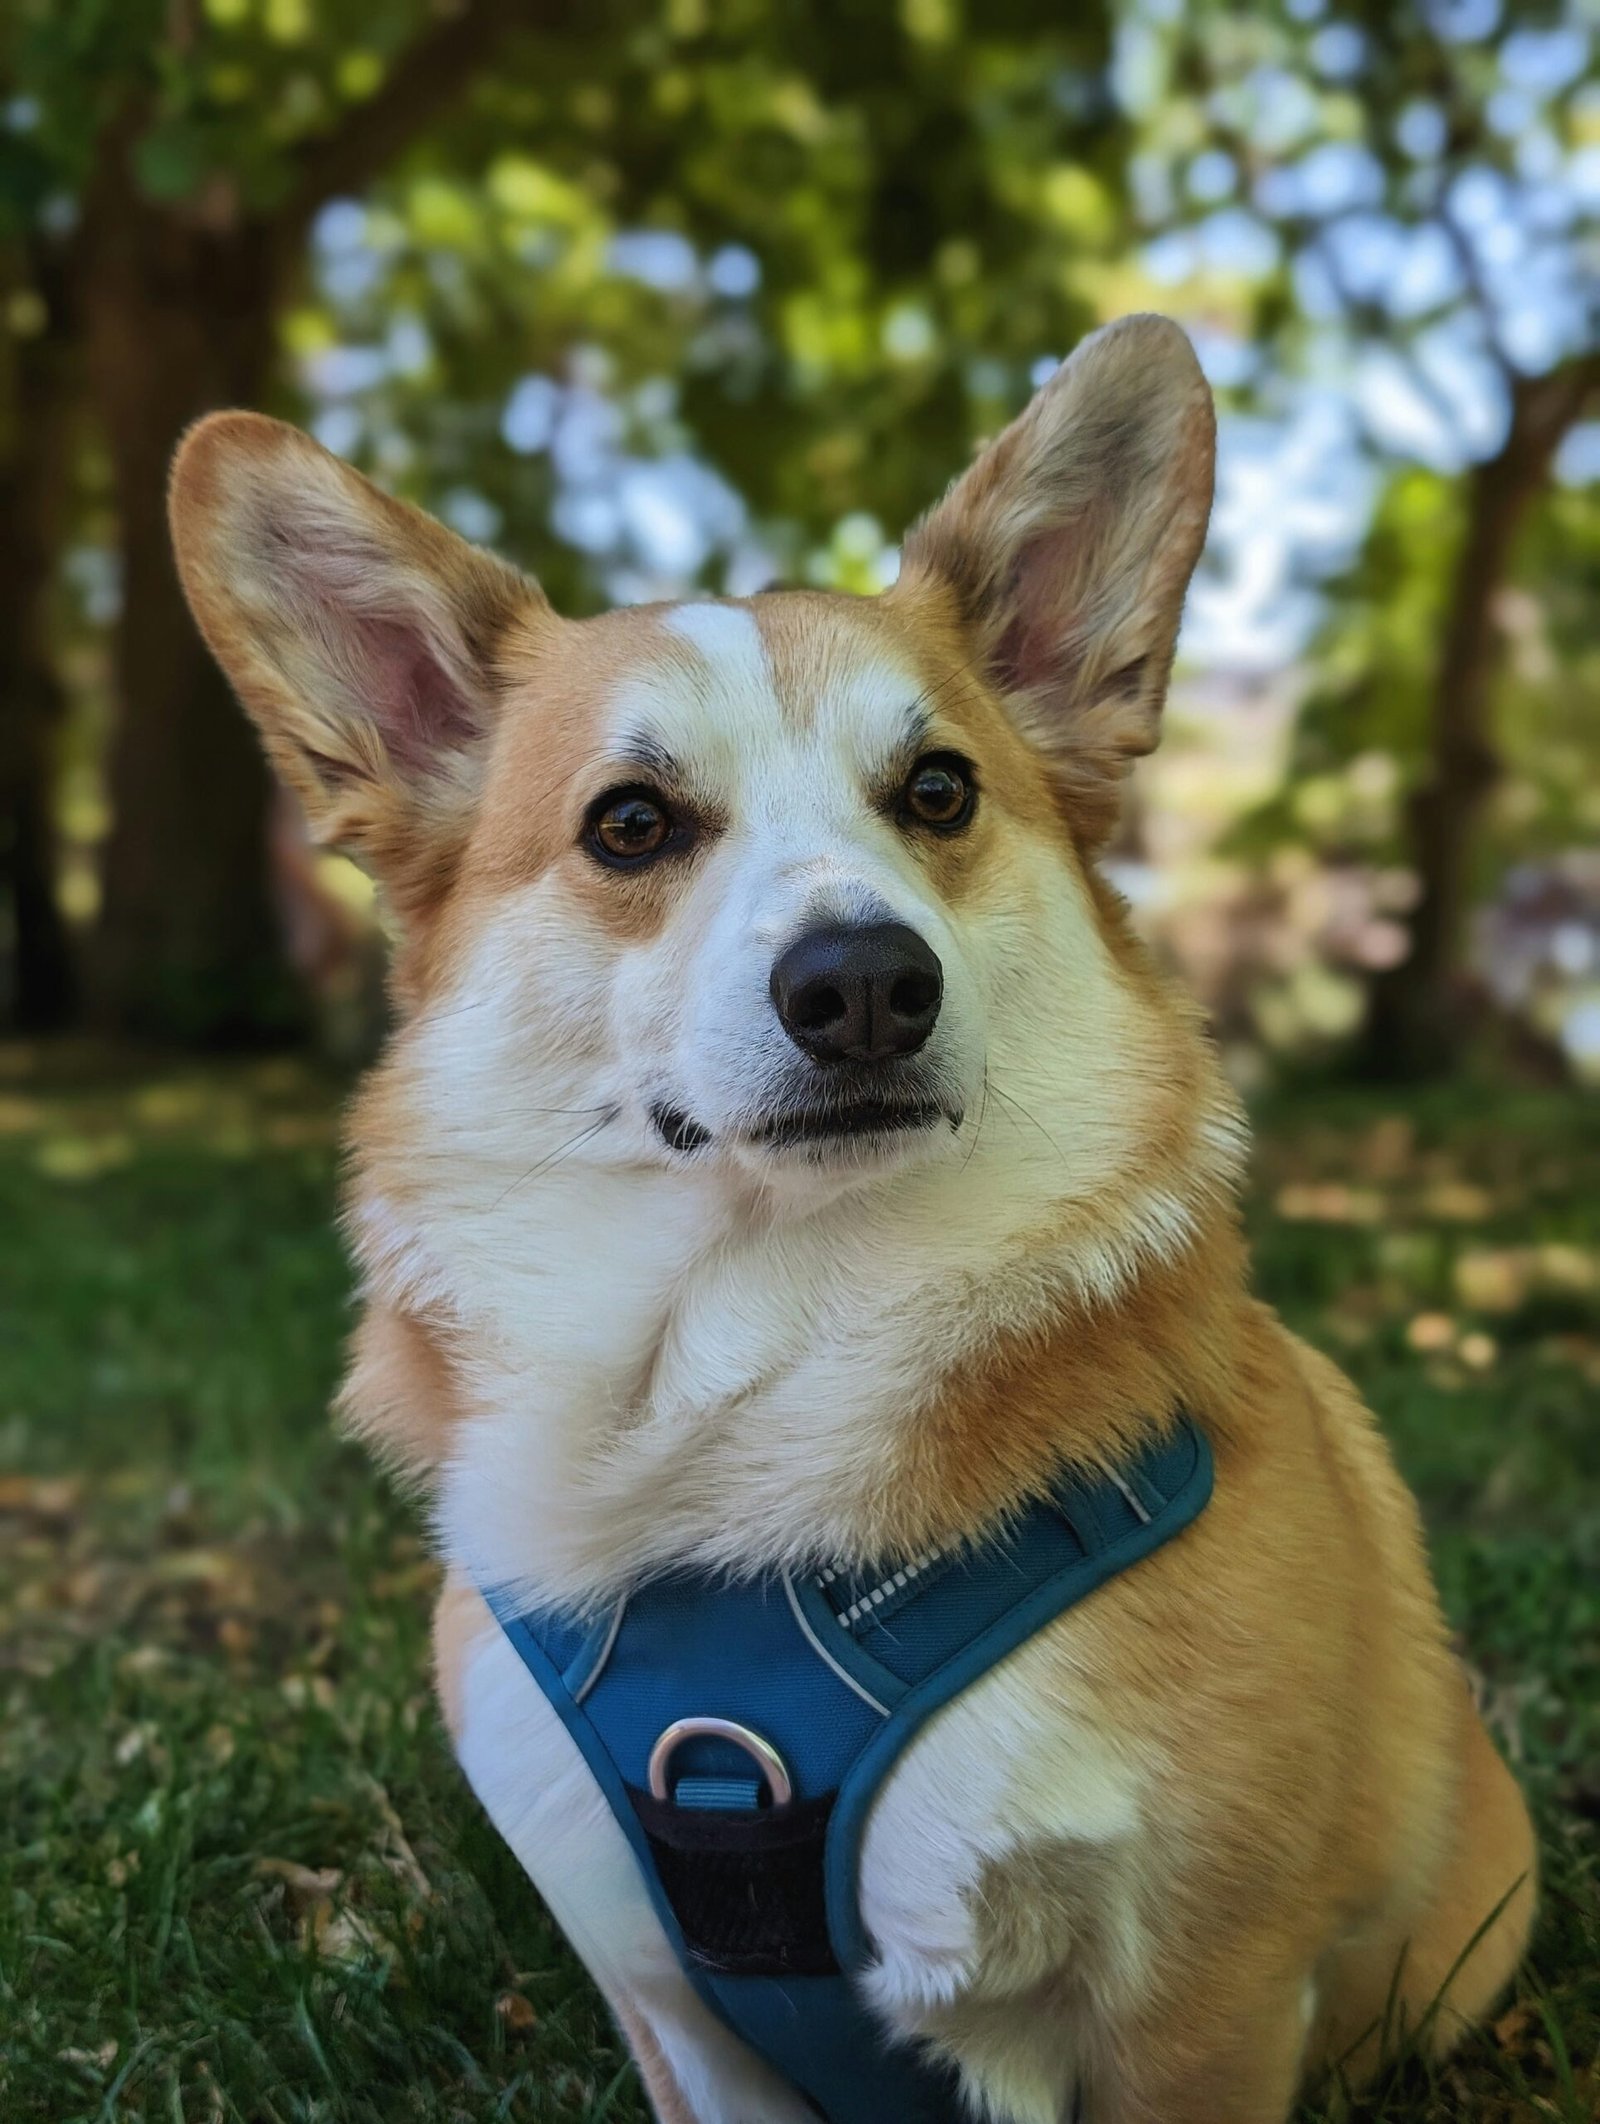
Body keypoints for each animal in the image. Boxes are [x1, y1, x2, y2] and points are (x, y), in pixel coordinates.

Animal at [168, 318, 1529, 2124]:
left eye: (939, 790)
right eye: (629, 824)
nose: (868, 983)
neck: (765, 1328)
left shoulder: (1207, 2003)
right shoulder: (678, 2012)